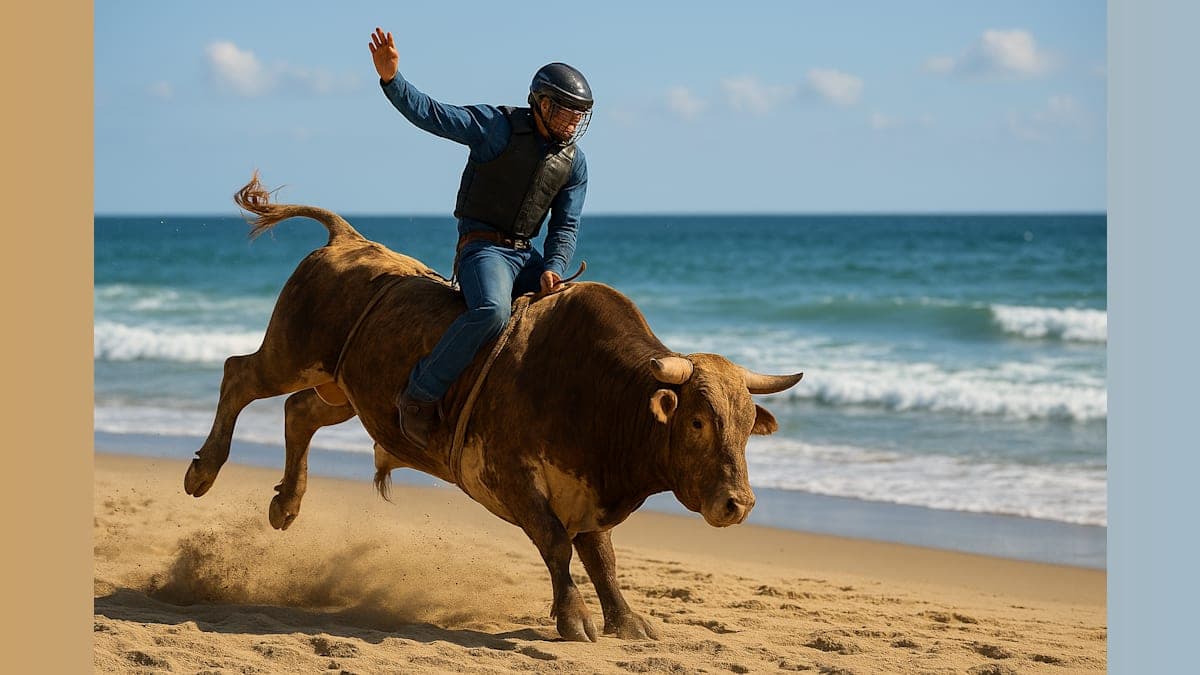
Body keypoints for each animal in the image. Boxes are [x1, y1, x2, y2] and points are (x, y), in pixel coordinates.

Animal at [184, 173, 804, 642]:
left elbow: (601, 557)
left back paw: (286, 505)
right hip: (290, 353)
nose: (738, 503)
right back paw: (203, 472)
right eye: (697, 420)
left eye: (746, 428)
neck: (602, 392)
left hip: (345, 392)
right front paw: (575, 620)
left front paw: (627, 622)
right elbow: (557, 544)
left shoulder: (584, 494)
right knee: (240, 375)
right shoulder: (511, 477)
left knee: (300, 413)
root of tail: (347, 239)